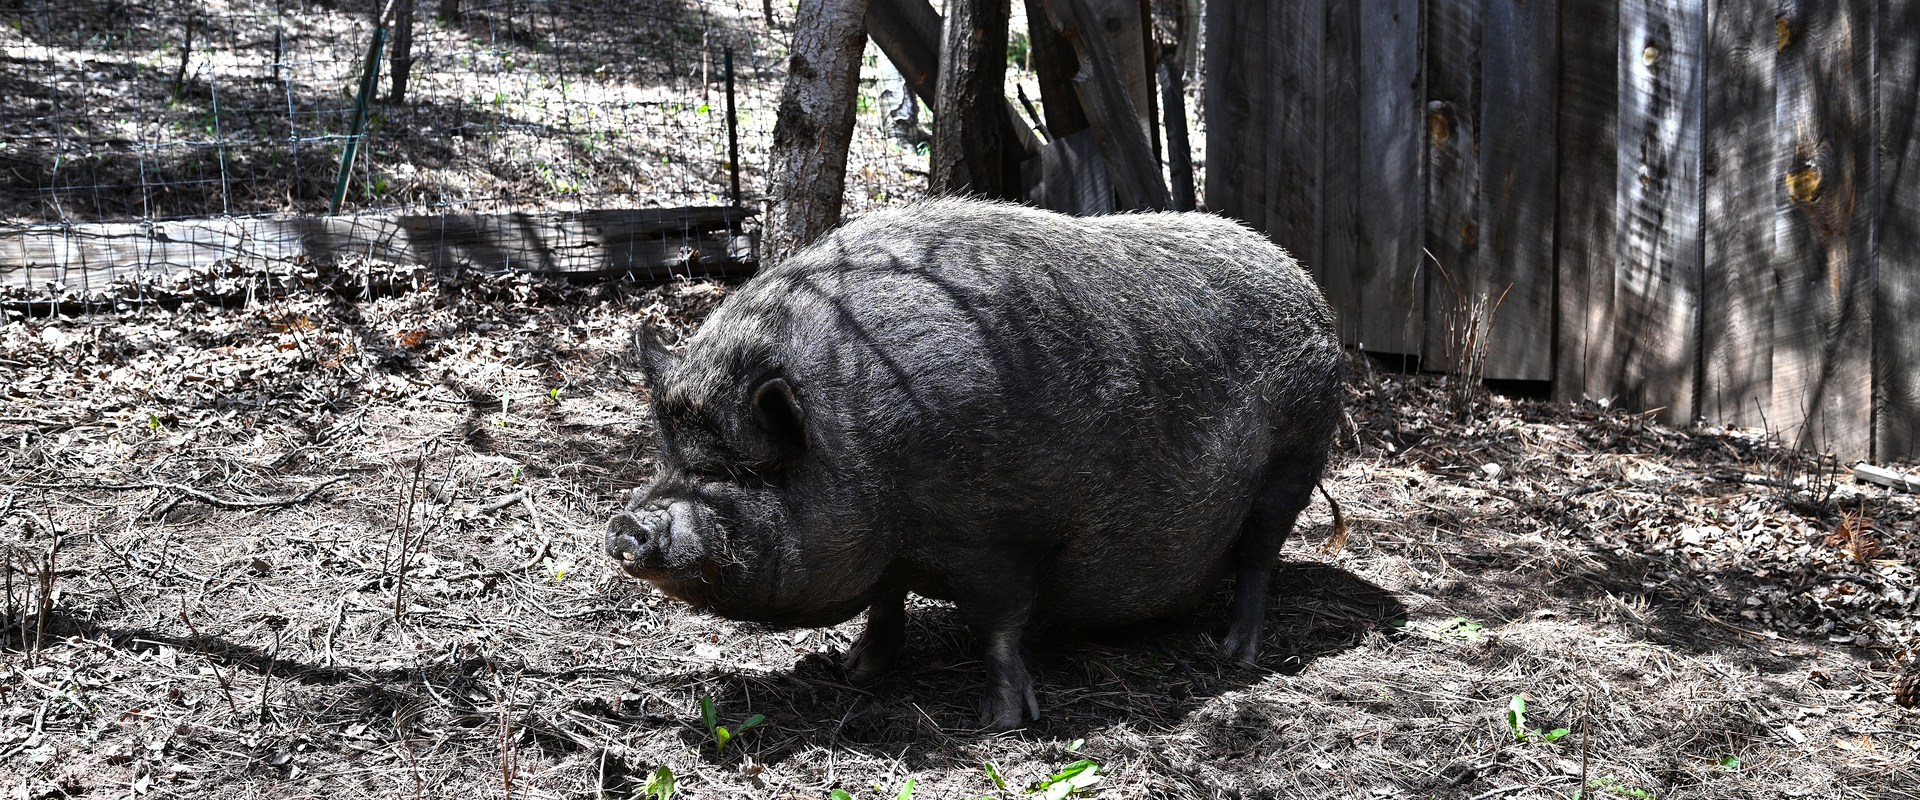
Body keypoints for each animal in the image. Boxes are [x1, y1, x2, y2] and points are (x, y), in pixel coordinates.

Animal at [607, 198, 1341, 730]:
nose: (627, 525)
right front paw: (855, 671)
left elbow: (997, 626)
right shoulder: (896, 549)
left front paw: (1001, 723)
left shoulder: (1005, 535)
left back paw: (1234, 655)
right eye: (670, 457)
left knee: (1259, 558)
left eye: (743, 472)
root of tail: (1310, 287)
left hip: (1295, 459)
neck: (867, 447)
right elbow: (887, 600)